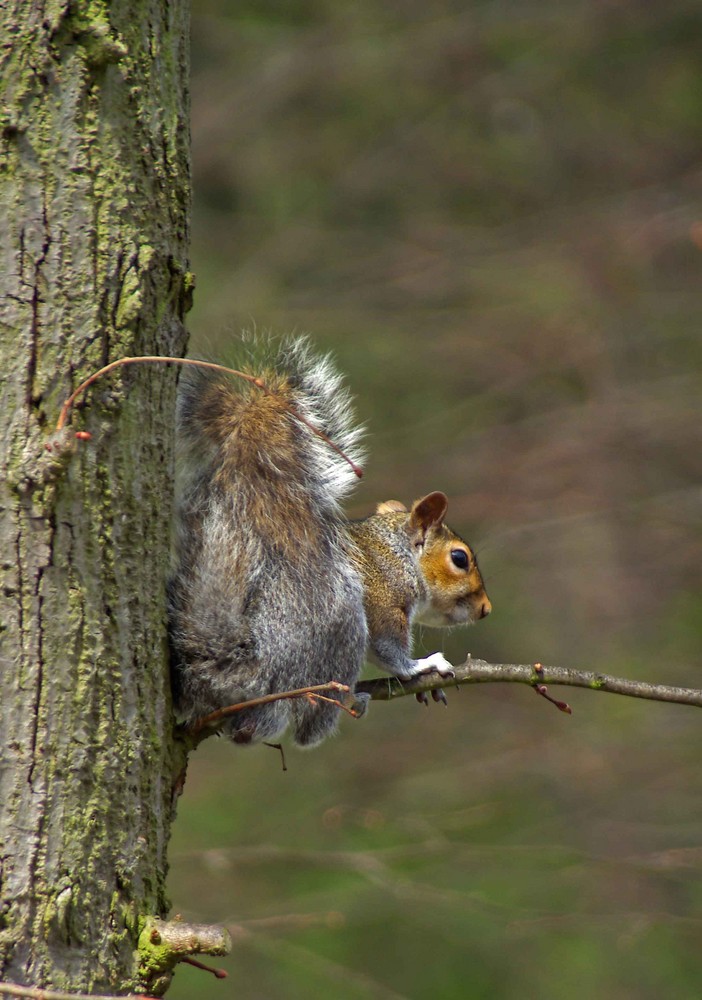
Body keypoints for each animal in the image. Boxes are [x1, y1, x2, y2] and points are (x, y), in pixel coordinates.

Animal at [168, 336, 492, 744]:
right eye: (459, 558)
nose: (486, 609)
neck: (396, 553)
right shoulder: (384, 601)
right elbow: (389, 650)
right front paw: (421, 667)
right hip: (340, 619)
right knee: (306, 725)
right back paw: (348, 702)